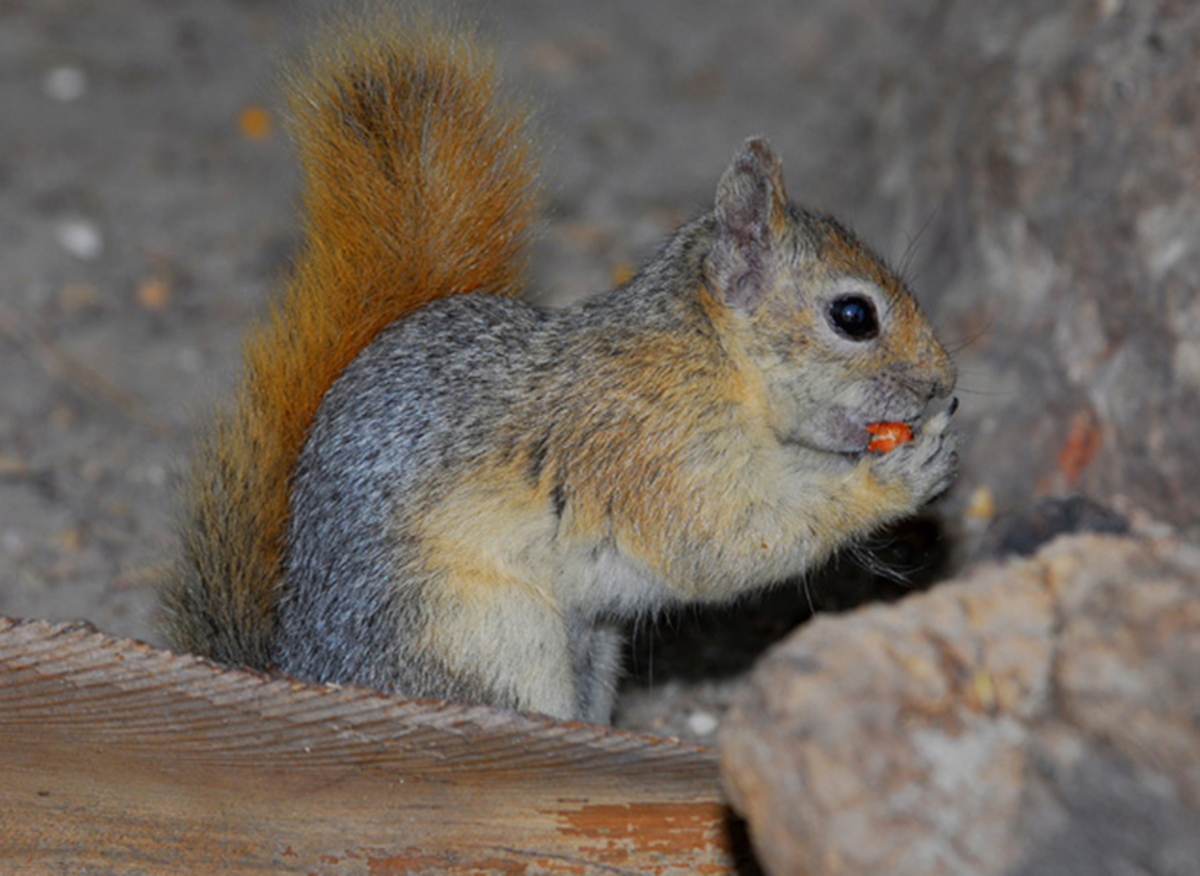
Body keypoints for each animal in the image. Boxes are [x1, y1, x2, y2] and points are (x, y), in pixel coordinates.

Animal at [162, 15, 955, 724]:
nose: (942, 384)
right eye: (853, 316)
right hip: (489, 639)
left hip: (591, 649)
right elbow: (726, 540)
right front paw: (897, 477)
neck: (713, 360)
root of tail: (303, 671)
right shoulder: (644, 451)